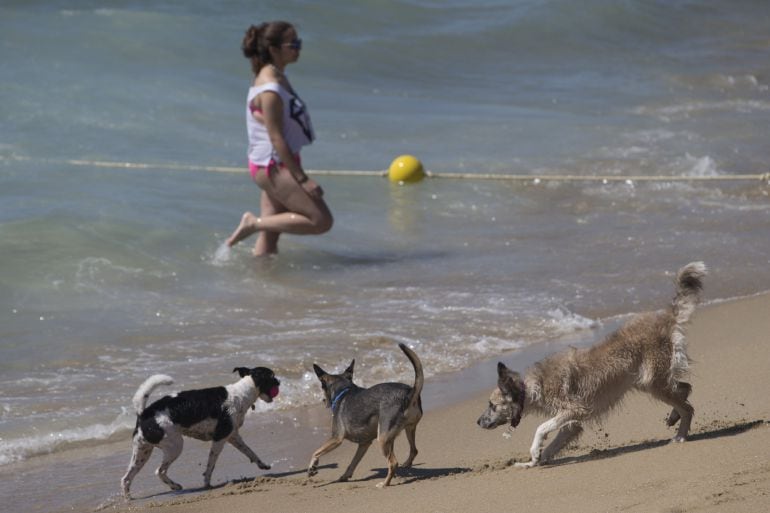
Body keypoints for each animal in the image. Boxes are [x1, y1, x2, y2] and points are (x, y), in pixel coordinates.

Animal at [118, 366, 278, 498]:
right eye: (272, 377)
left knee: (126, 479)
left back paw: (129, 500)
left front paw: (262, 465)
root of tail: (144, 413)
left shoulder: (233, 436)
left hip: (142, 452)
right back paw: (175, 486)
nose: (280, 382)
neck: (242, 393)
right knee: (160, 471)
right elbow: (211, 465)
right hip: (175, 446)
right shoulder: (219, 439)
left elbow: (250, 452)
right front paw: (206, 483)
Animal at [308, 342, 426, 486]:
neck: (344, 391)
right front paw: (345, 476)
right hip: (406, 430)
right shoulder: (364, 443)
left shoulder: (336, 438)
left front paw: (312, 467)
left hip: (382, 439)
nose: (323, 400)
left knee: (393, 463)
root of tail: (409, 393)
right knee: (413, 450)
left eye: (322, 387)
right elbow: (353, 462)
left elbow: (316, 452)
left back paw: (384, 484)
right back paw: (406, 465)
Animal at [476, 262, 704, 466]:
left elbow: (541, 427)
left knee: (687, 406)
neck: (533, 386)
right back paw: (674, 417)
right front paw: (534, 460)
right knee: (685, 389)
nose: (478, 422)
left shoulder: (575, 409)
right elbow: (554, 443)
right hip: (649, 382)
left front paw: (534, 450)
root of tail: (665, 317)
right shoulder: (571, 424)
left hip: (652, 381)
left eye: (492, 406)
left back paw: (680, 435)